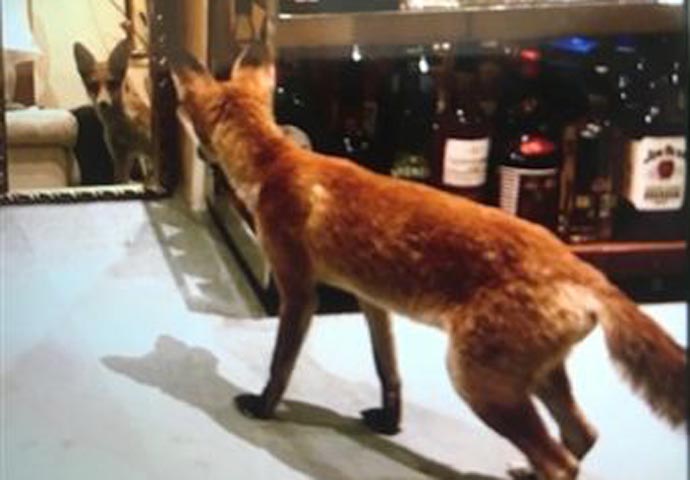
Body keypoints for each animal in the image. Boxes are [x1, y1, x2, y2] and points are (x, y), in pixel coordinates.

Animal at [73, 39, 156, 186]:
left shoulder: (145, 149)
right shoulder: (120, 155)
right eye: (93, 86)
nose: (103, 103)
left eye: (111, 83)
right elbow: (120, 180)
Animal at [171, 44, 686, 480]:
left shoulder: (298, 292)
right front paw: (388, 421)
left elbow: (280, 366)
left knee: (562, 462)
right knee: (582, 435)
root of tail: (587, 272)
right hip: (536, 375)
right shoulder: (371, 301)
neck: (275, 164)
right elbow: (389, 372)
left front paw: (263, 408)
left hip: (478, 381)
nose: (196, 152)